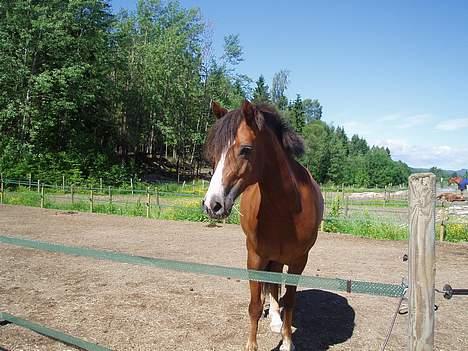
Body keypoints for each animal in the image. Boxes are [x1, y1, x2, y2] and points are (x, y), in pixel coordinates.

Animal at [203, 99, 324, 351]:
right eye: (214, 152)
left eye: (246, 149)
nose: (212, 205)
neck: (287, 208)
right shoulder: (254, 257)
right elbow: (254, 306)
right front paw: (251, 345)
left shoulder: (299, 261)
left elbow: (290, 301)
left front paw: (287, 342)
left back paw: (278, 322)